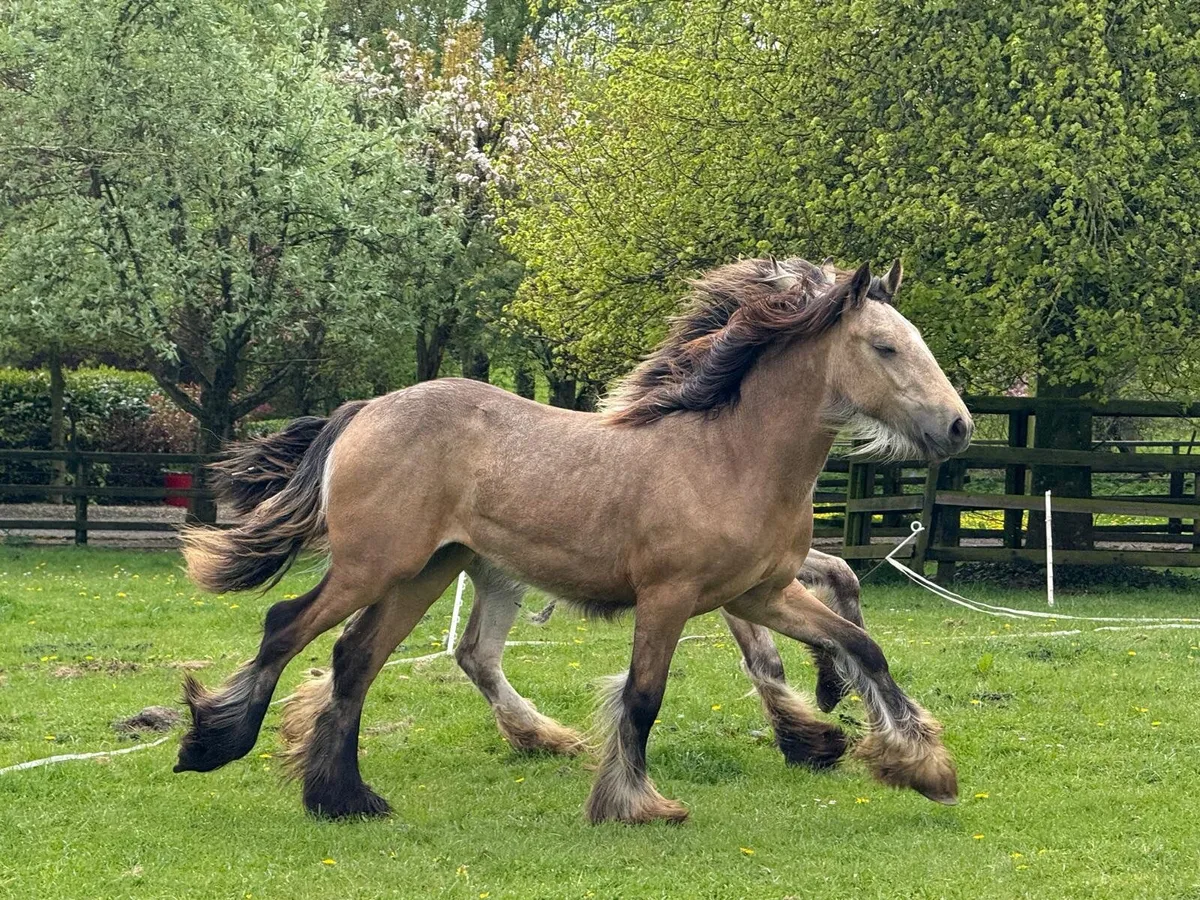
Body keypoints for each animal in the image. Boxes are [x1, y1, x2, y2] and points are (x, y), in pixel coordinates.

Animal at [175, 256, 972, 823]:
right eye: (886, 348)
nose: (959, 426)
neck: (730, 456)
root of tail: (365, 409)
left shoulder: (761, 594)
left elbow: (861, 645)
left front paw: (921, 765)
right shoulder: (670, 597)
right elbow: (644, 697)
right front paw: (634, 804)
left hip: (428, 573)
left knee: (356, 660)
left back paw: (343, 798)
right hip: (373, 567)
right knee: (288, 626)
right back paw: (214, 744)